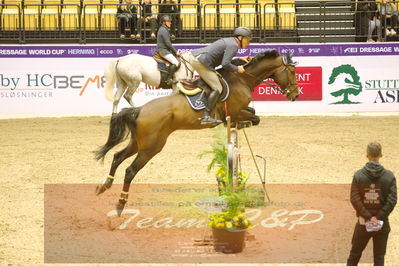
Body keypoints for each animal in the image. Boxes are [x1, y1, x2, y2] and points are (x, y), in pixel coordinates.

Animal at [94, 50, 300, 216]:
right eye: (292, 71)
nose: (295, 95)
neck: (241, 79)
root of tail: (140, 110)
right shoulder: (235, 112)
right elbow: (254, 117)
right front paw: (246, 123)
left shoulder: (238, 112)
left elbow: (253, 114)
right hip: (151, 147)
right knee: (130, 170)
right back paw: (120, 204)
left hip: (138, 142)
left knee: (117, 156)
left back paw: (104, 185)